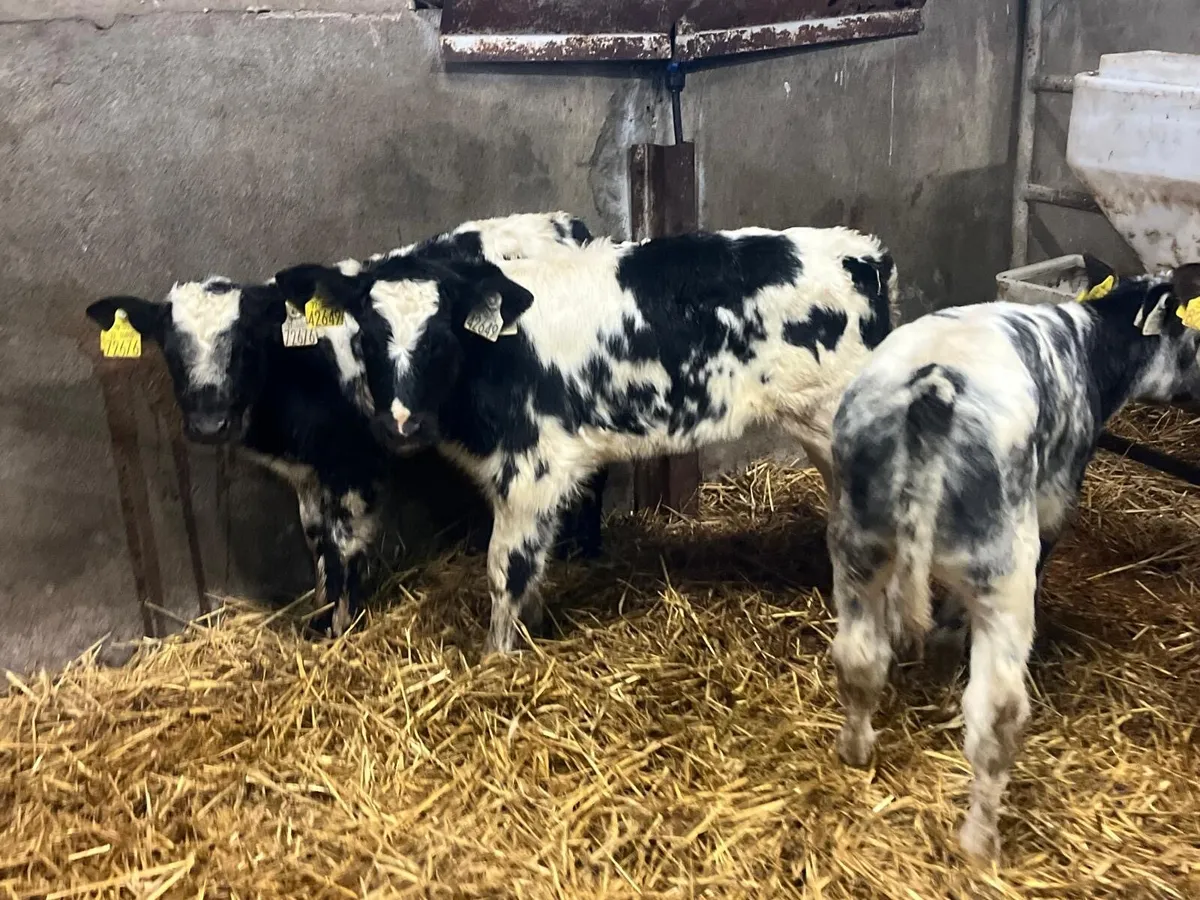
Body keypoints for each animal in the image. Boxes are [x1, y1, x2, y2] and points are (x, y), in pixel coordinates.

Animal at [84, 212, 605, 638]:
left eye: (247, 343)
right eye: (171, 351)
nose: (210, 424)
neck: (305, 365)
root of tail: (567, 222)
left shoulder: (355, 466)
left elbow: (344, 545)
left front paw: (339, 624)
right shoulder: (311, 475)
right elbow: (316, 541)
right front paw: (320, 614)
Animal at [272, 225, 898, 655]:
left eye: (443, 334)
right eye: (366, 334)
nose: (402, 424)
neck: (497, 355)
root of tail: (863, 255)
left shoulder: (533, 469)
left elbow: (507, 568)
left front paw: (497, 659)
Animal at [825, 257, 1200, 859]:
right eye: (1196, 333)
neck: (1090, 342)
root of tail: (934, 386)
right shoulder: (1056, 500)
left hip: (858, 544)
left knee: (859, 658)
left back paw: (856, 749)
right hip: (1004, 570)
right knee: (995, 717)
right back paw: (981, 843)